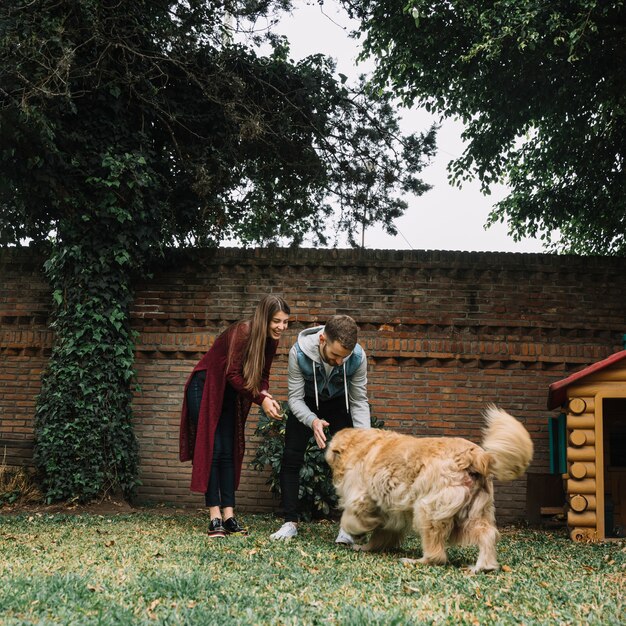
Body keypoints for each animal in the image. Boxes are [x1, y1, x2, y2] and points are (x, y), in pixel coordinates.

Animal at [324, 404, 532, 572]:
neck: (359, 445)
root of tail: (478, 456)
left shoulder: (361, 497)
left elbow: (350, 518)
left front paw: (357, 533)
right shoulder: (390, 509)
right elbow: (381, 533)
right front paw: (367, 546)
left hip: (428, 509)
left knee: (437, 555)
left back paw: (416, 561)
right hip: (472, 514)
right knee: (487, 534)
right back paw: (483, 566)